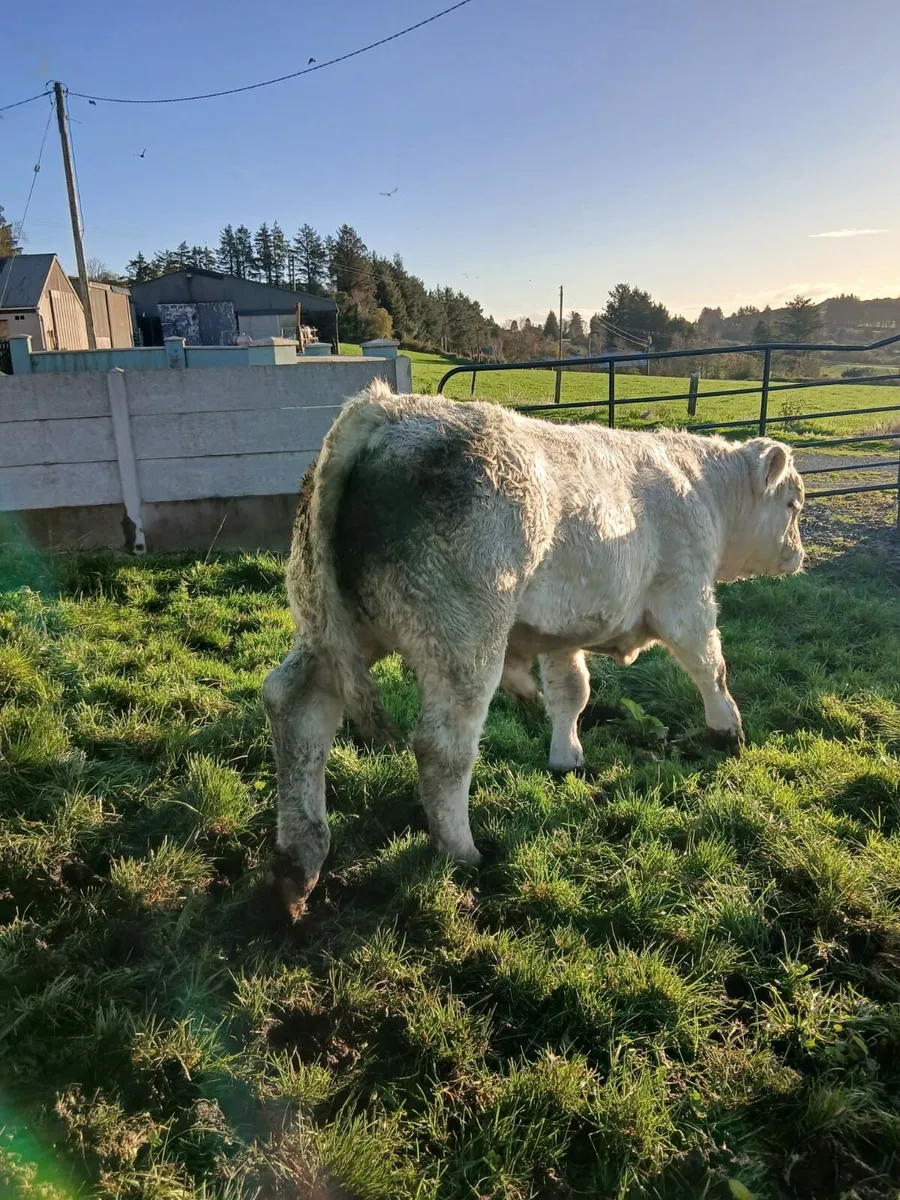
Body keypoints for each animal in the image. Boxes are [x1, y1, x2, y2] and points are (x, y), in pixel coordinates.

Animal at [263, 380, 805, 916]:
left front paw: (567, 757)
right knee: (442, 745)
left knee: (295, 704)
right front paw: (727, 731)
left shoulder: (562, 634)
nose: (798, 555)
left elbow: (571, 693)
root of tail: (388, 409)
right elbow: (711, 667)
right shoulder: (687, 599)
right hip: (464, 640)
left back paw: (298, 862)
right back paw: (460, 851)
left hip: (334, 629)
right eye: (794, 505)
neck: (701, 489)